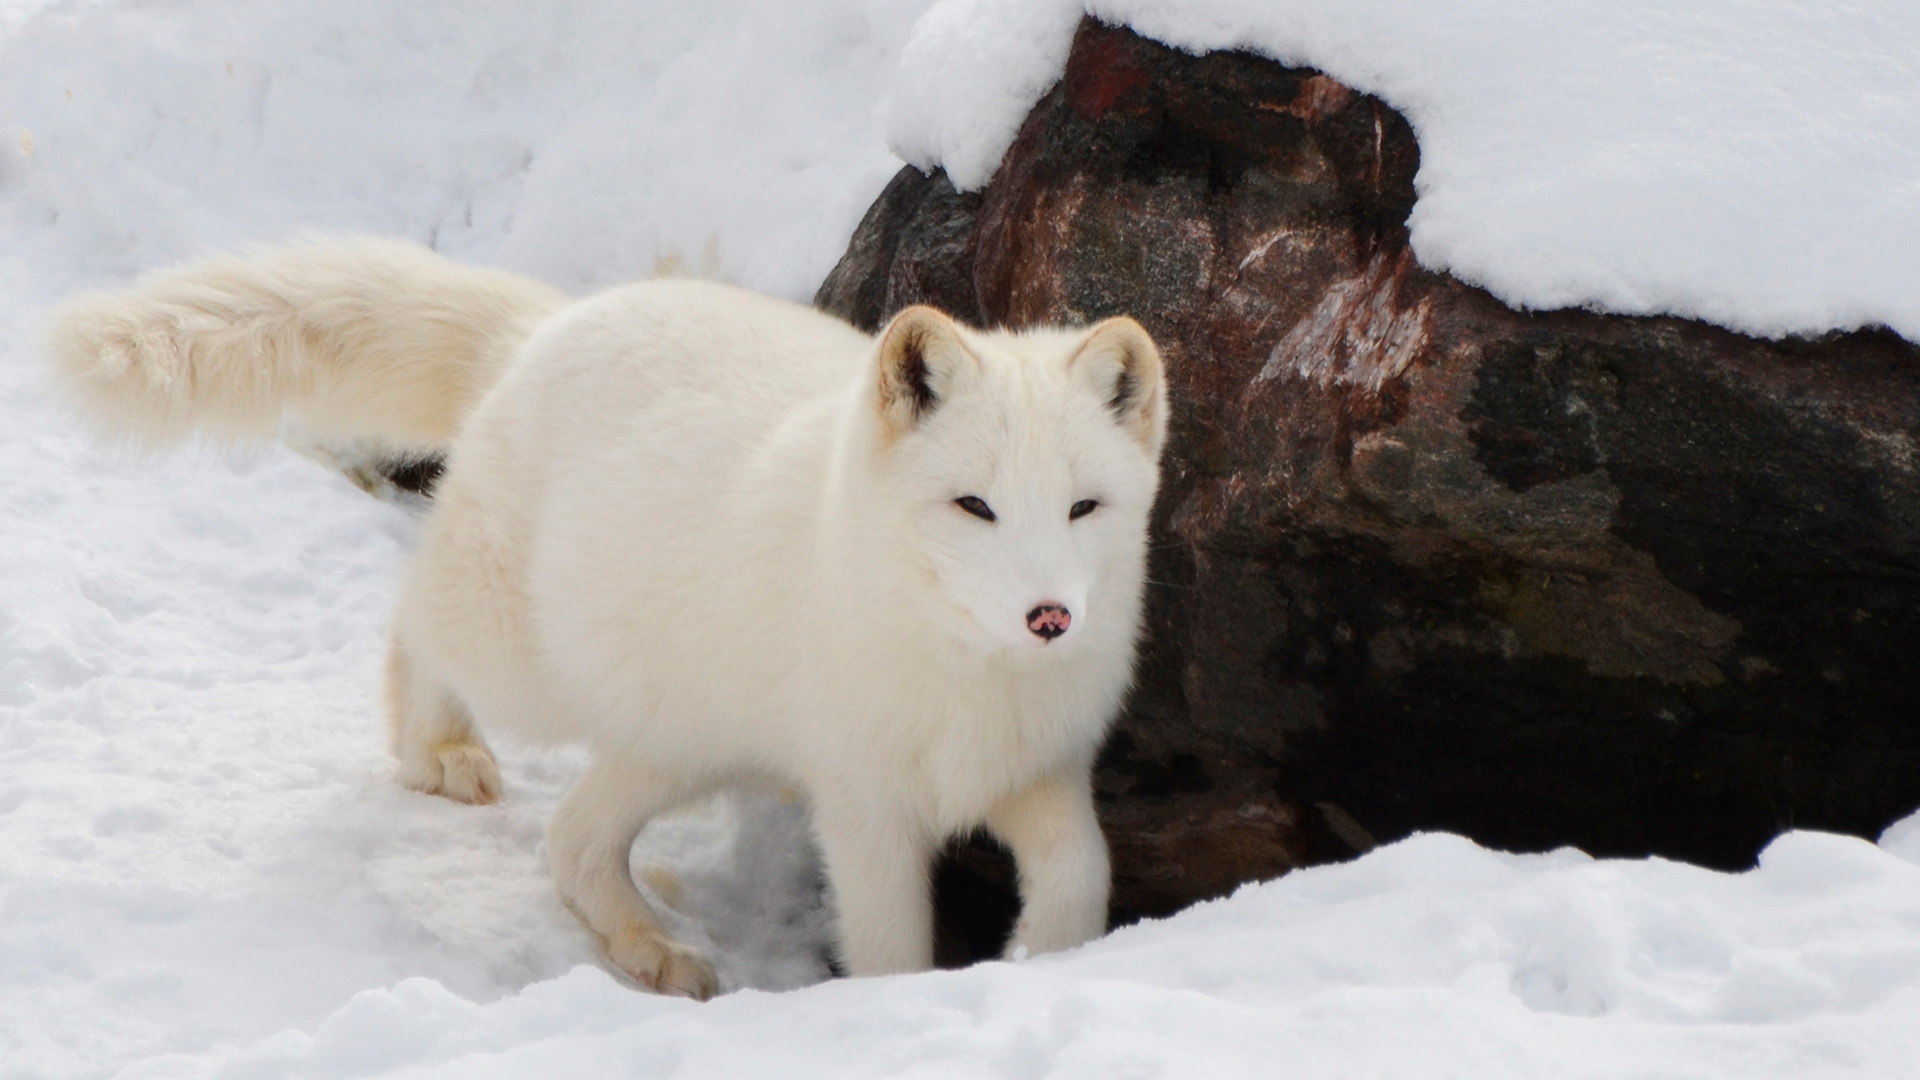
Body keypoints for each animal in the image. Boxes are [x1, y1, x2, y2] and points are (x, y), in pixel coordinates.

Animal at [52, 239, 1167, 999]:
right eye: (974, 506)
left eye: (1083, 507)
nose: (1051, 616)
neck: (969, 681)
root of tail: (545, 331)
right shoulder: (866, 808)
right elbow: (890, 948)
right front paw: (898, 1009)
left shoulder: (1041, 772)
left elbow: (1084, 876)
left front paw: (1047, 960)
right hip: (528, 668)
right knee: (415, 622)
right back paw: (438, 749)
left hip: (678, 739)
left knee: (573, 843)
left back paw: (650, 947)